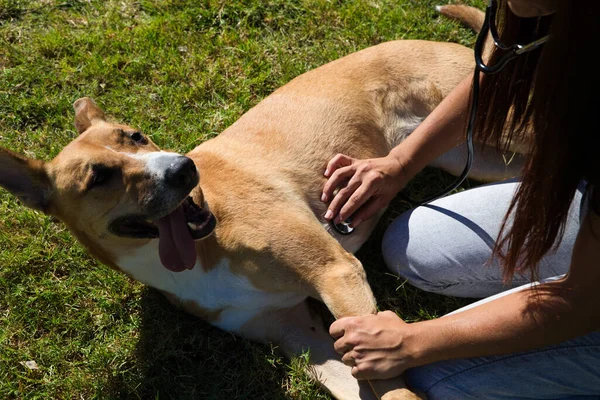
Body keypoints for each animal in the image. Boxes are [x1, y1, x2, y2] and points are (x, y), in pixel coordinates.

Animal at [0, 4, 524, 398]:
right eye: (99, 176)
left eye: (136, 135)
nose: (183, 168)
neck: (200, 253)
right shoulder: (296, 333)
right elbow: (353, 384)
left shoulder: (334, 272)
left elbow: (388, 382)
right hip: (479, 156)